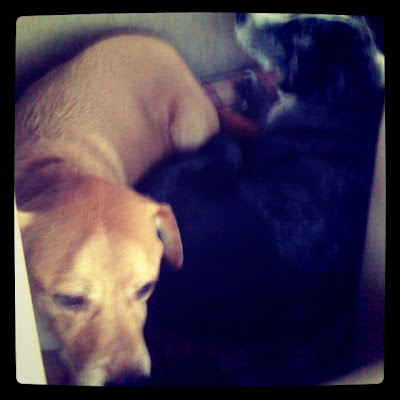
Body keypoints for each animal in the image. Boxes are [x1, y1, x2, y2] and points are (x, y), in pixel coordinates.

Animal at [135, 14, 385, 385]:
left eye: (294, 36)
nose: (240, 16)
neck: (351, 96)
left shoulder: (264, 131)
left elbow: (258, 115)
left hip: (223, 151)